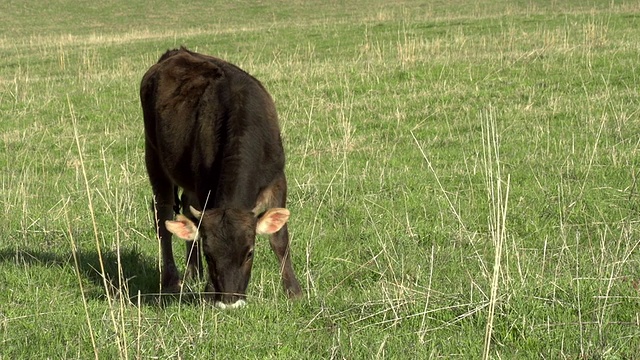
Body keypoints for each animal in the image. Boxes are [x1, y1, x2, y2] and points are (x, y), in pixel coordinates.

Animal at [139, 46, 302, 308]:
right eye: (209, 255)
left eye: (249, 252)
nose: (229, 301)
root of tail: (175, 52)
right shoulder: (204, 185)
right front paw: (208, 291)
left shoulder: (278, 180)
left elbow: (279, 238)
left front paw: (293, 291)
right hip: (153, 155)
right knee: (162, 216)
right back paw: (172, 280)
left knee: (185, 209)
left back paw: (193, 272)